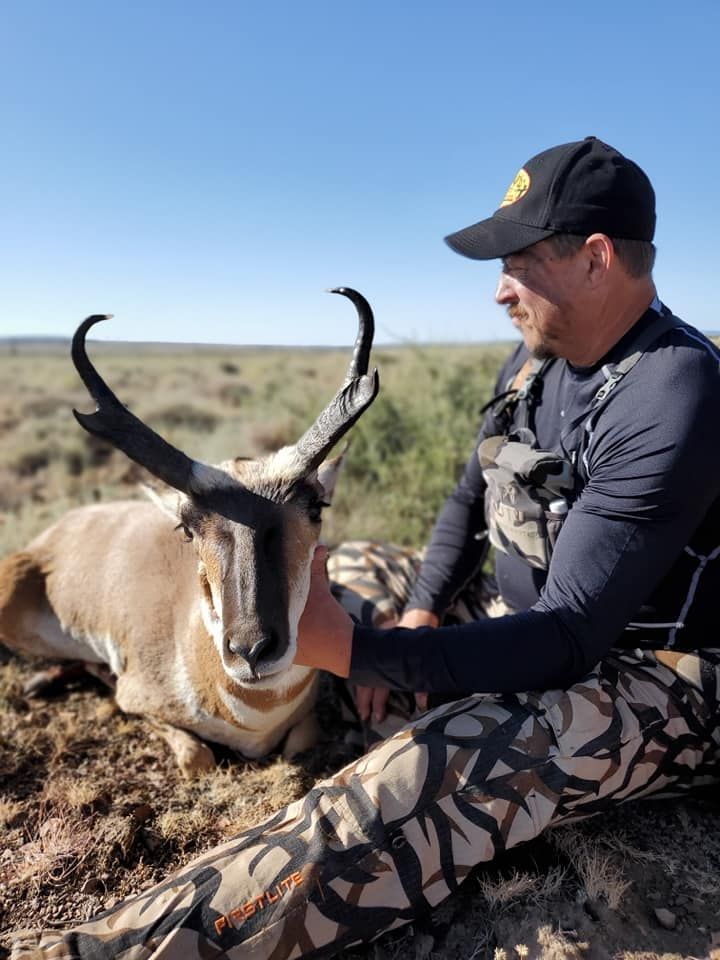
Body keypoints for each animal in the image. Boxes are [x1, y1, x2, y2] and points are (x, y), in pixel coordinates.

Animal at [0, 288, 378, 777]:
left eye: (316, 506)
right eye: (186, 526)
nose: (253, 650)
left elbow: (298, 744)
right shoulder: (139, 702)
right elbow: (197, 754)